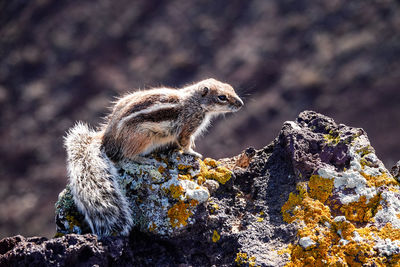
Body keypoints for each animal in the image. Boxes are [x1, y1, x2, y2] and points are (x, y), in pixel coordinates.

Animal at [65, 78, 244, 238]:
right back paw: (145, 160)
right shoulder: (187, 126)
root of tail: (107, 139)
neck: (195, 101)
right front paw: (193, 152)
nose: (240, 104)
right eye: (222, 97)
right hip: (143, 138)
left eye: (231, 88)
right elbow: (184, 143)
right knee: (126, 156)